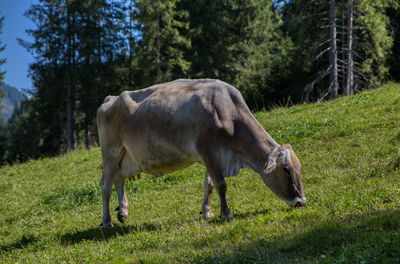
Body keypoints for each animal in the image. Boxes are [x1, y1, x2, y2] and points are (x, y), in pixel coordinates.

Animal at [97, 78, 306, 227]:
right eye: (286, 169)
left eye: (299, 169)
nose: (301, 202)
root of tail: (110, 99)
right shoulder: (207, 151)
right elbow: (221, 185)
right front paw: (226, 214)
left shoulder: (214, 157)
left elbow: (210, 185)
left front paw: (207, 212)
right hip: (110, 152)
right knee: (106, 185)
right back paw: (107, 221)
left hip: (125, 157)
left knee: (119, 180)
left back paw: (123, 211)